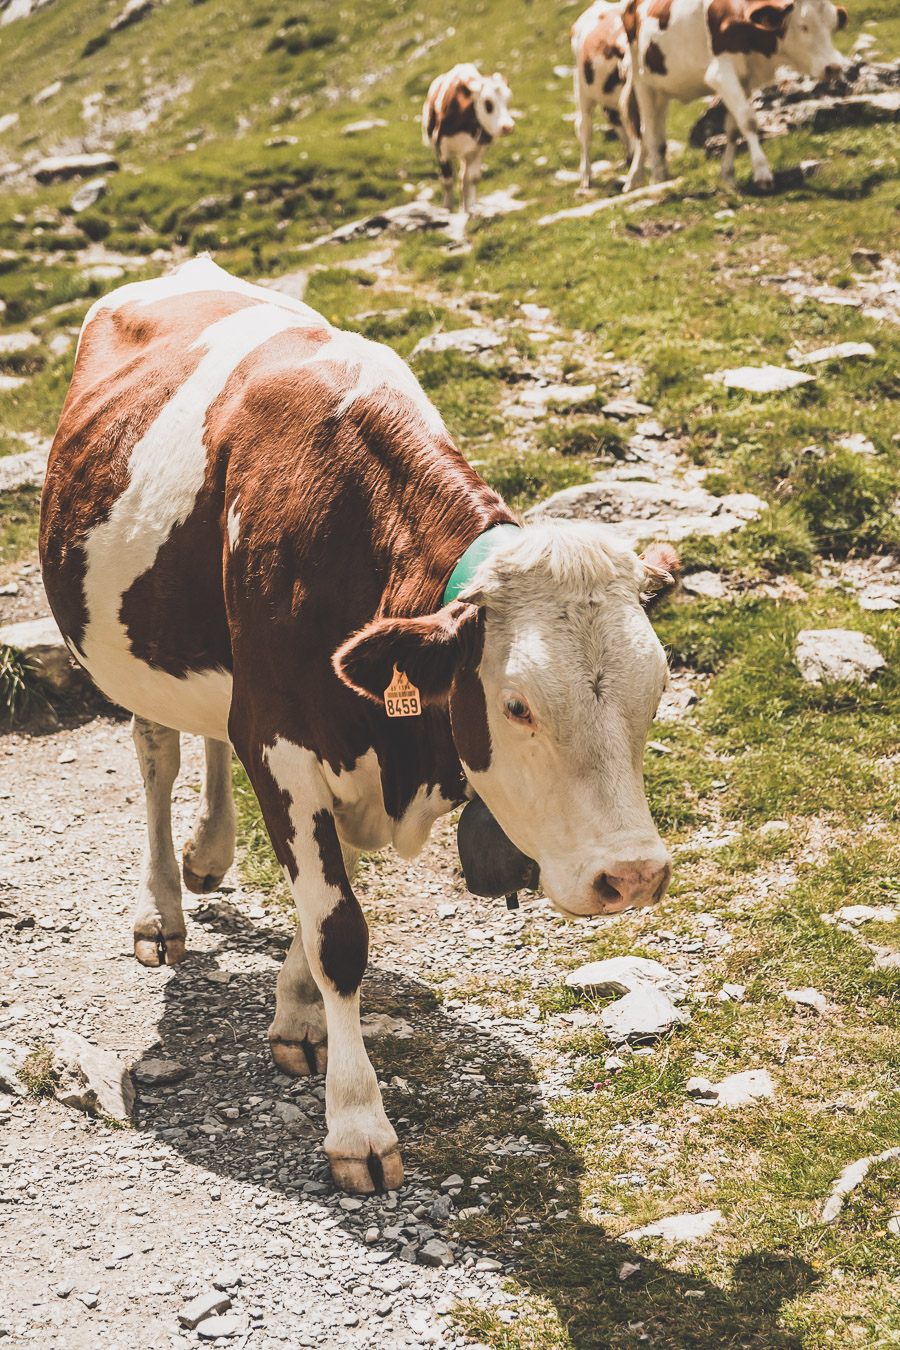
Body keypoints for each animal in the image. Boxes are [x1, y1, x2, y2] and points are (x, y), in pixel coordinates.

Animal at [40, 255, 674, 1193]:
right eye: (518, 704)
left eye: (656, 687)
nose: (631, 876)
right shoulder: (280, 736)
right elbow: (338, 929)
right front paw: (358, 1125)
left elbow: (324, 901)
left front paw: (300, 1015)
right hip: (127, 652)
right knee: (156, 753)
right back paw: (162, 908)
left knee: (208, 732)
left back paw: (209, 853)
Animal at [423, 63, 512, 213]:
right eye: (488, 102)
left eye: (507, 100)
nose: (508, 126)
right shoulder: (441, 149)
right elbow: (447, 179)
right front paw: (447, 207)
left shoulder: (477, 151)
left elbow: (472, 179)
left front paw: (470, 208)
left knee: (463, 179)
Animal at [623, 0, 847, 193]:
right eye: (804, 26)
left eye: (832, 26)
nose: (834, 68)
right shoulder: (721, 74)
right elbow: (748, 121)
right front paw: (762, 174)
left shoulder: (744, 80)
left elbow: (733, 129)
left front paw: (727, 176)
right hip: (641, 80)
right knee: (648, 129)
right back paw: (651, 178)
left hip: (663, 88)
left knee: (653, 130)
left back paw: (651, 175)